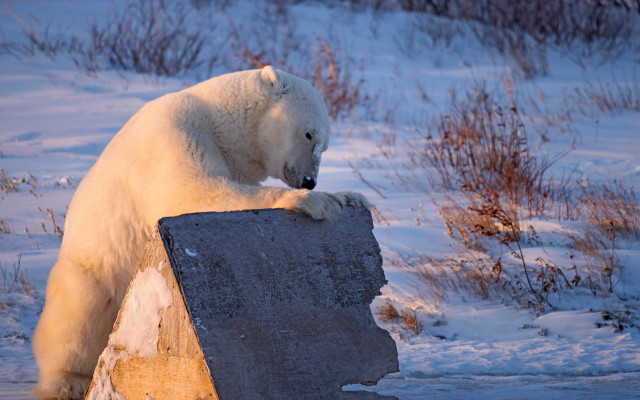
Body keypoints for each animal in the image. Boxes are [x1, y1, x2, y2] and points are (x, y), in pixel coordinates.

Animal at [32, 66, 369, 399]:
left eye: (324, 146)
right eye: (308, 133)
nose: (309, 181)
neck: (219, 121)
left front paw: (350, 197)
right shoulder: (173, 134)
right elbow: (195, 191)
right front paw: (319, 202)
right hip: (94, 268)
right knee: (77, 316)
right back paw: (66, 383)